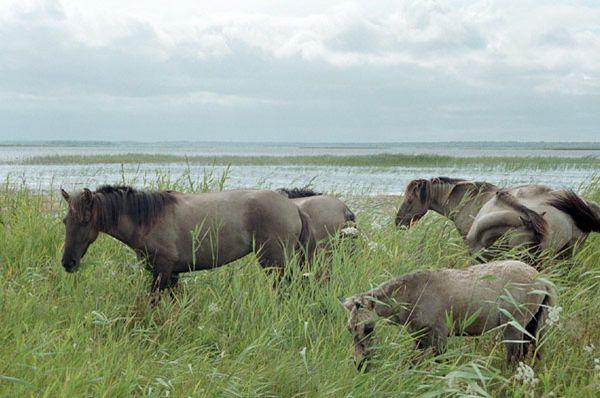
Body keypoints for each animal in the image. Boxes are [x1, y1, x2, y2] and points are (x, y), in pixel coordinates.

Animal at [58, 185, 316, 300]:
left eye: (85, 221)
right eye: (65, 221)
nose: (68, 263)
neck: (149, 219)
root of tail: (293, 206)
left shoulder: (162, 270)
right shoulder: (172, 274)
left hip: (274, 263)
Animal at [340, 262, 556, 370]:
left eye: (368, 328)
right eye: (349, 329)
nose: (360, 364)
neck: (413, 294)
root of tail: (541, 279)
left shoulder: (438, 337)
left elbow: (440, 363)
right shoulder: (420, 338)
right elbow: (411, 364)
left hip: (513, 327)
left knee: (514, 357)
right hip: (532, 325)